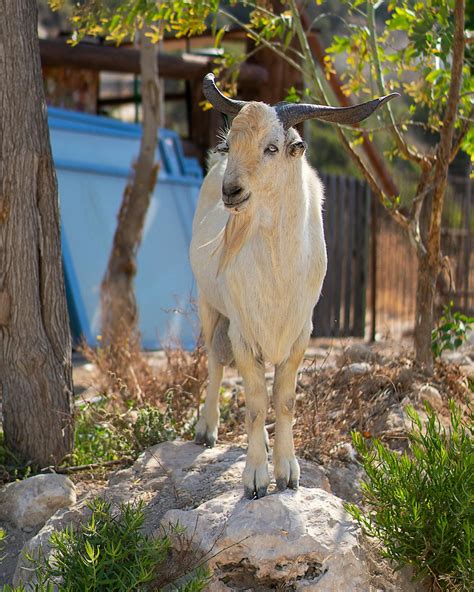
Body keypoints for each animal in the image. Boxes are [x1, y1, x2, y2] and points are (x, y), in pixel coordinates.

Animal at [189, 75, 396, 500]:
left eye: (272, 147)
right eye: (232, 143)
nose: (232, 191)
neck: (278, 271)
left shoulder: (300, 333)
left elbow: (283, 401)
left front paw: (287, 473)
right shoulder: (244, 333)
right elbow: (255, 403)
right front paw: (255, 478)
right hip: (209, 304)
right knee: (215, 362)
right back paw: (207, 429)